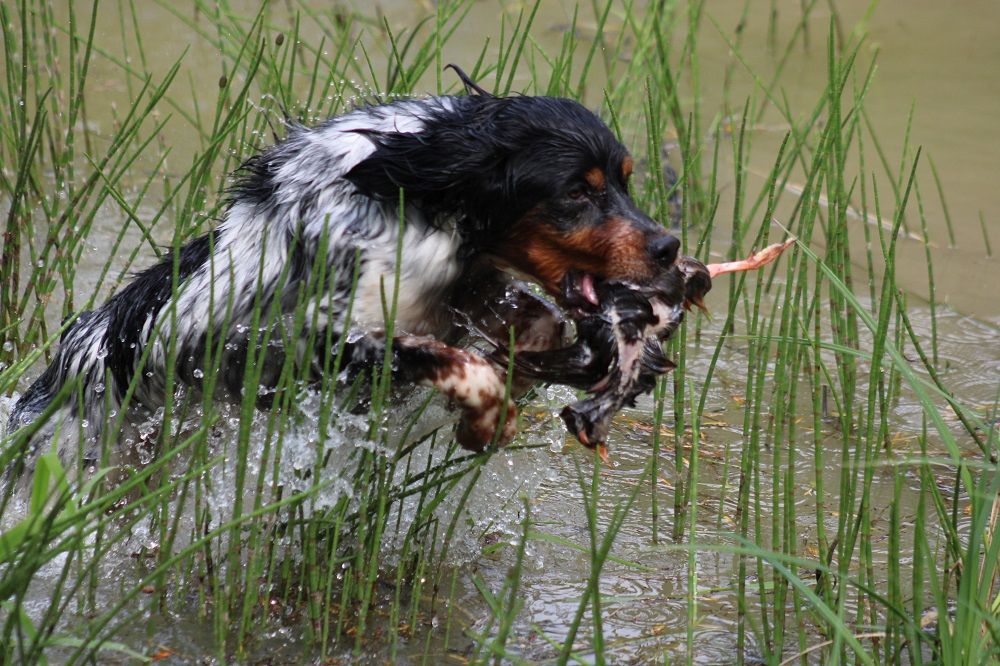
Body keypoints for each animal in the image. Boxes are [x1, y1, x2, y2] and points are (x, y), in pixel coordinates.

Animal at [3, 67, 684, 480]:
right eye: (576, 191)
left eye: (623, 181)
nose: (669, 248)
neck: (411, 197)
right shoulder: (309, 340)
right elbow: (462, 366)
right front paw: (486, 420)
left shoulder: (464, 286)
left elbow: (531, 325)